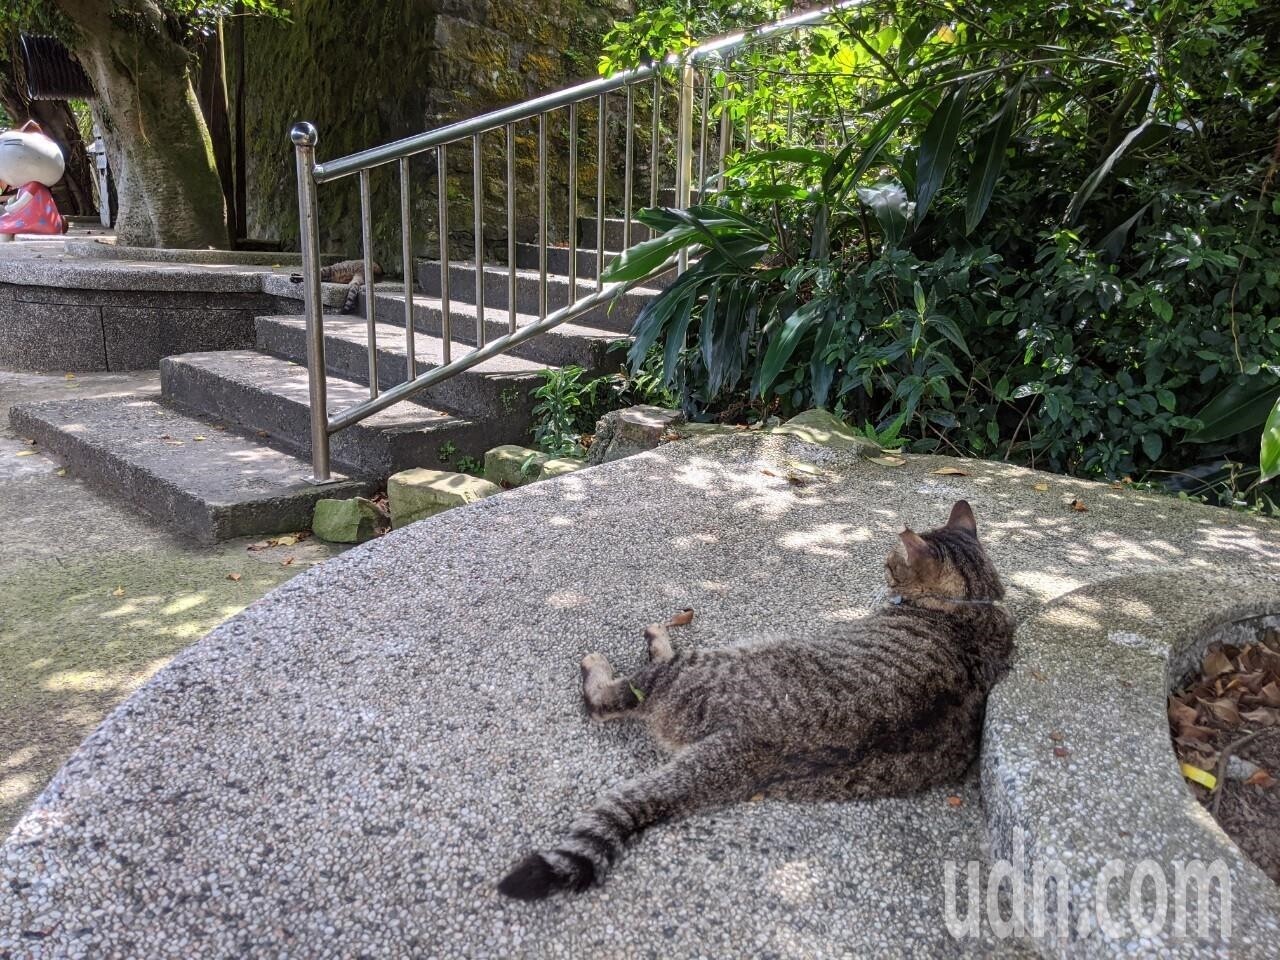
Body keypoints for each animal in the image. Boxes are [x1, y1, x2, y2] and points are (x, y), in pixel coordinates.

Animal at [494, 499, 1013, 906]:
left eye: (889, 565)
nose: (882, 577)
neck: (972, 605)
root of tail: (750, 743)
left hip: (689, 670)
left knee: (614, 696)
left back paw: (630, 652)